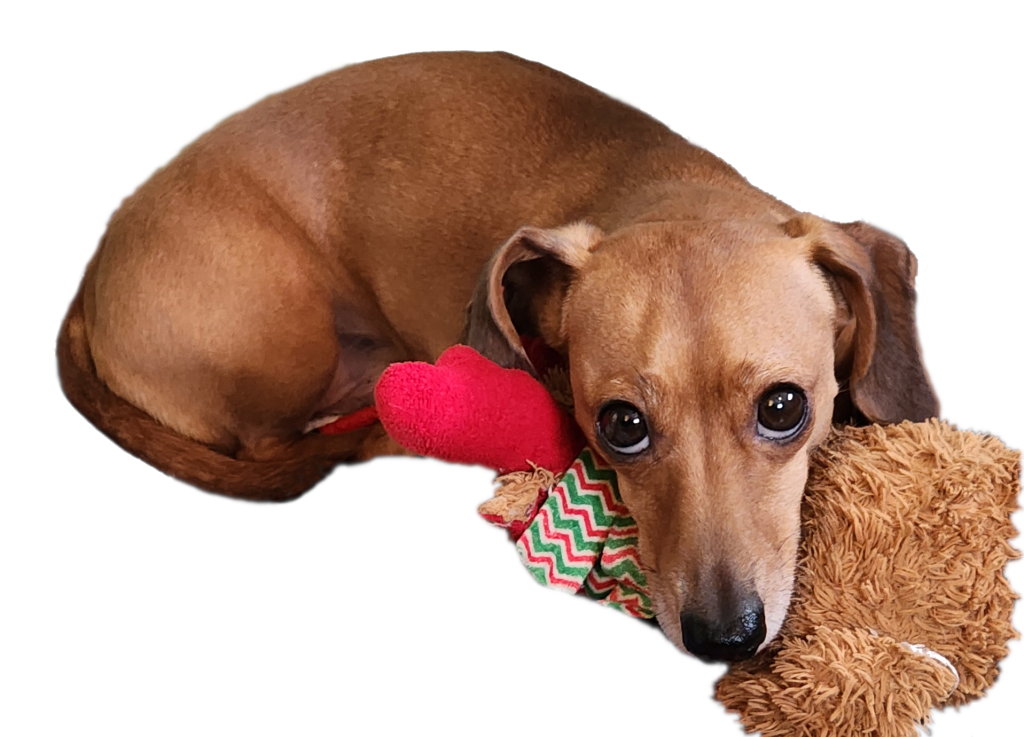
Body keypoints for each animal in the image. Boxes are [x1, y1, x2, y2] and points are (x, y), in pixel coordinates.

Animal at [56, 51, 937, 663]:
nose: (724, 636)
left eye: (785, 407)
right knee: (278, 441)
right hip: (286, 329)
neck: (664, 188)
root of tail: (91, 278)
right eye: (621, 424)